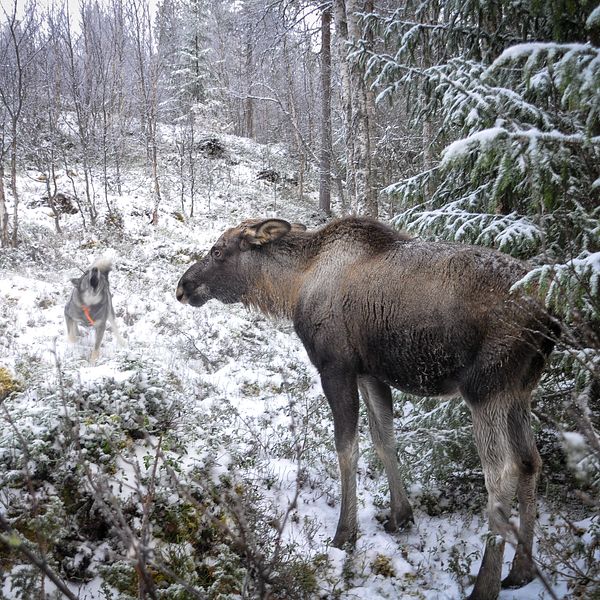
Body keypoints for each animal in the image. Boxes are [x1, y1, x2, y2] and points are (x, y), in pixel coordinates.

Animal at [177, 217, 556, 600]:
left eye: (218, 251)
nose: (183, 286)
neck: (293, 286)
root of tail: (551, 316)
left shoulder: (336, 367)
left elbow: (347, 447)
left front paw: (345, 533)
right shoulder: (369, 372)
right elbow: (383, 438)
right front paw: (401, 515)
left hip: (485, 388)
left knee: (502, 473)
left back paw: (485, 584)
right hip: (519, 390)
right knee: (530, 460)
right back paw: (522, 569)